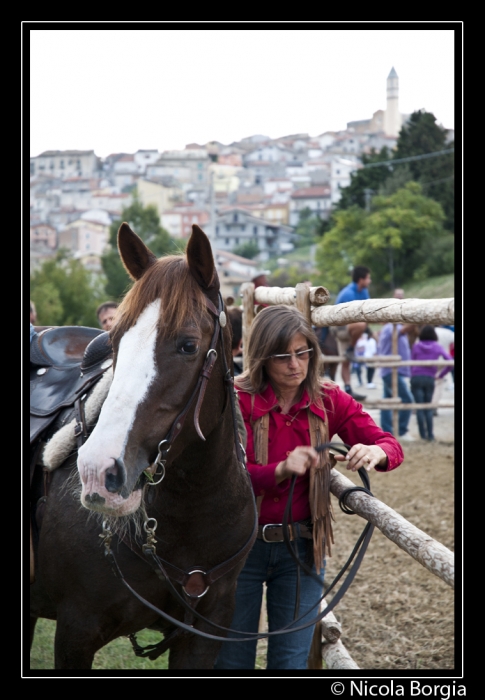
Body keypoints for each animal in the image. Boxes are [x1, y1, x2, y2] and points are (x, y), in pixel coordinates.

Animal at [29, 223, 258, 668]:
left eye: (188, 345)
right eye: (115, 339)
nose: (98, 471)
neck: (191, 512)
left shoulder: (205, 633)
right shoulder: (76, 631)